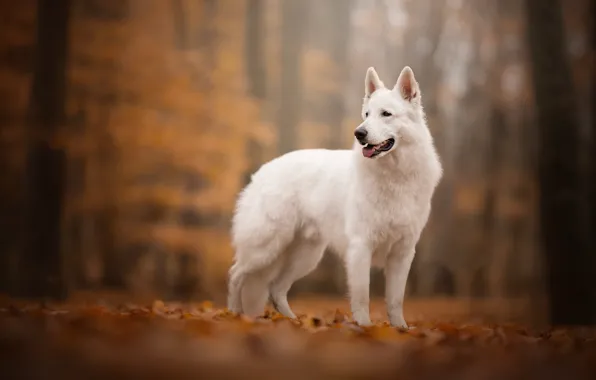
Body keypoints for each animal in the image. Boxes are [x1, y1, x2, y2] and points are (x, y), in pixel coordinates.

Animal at [228, 65, 442, 326]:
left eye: (386, 114)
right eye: (366, 114)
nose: (359, 132)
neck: (394, 175)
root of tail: (262, 170)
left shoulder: (403, 252)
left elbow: (395, 300)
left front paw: (400, 328)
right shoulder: (360, 247)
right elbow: (362, 297)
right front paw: (365, 328)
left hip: (305, 256)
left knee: (276, 289)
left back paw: (293, 322)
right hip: (266, 247)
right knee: (236, 274)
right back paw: (233, 314)